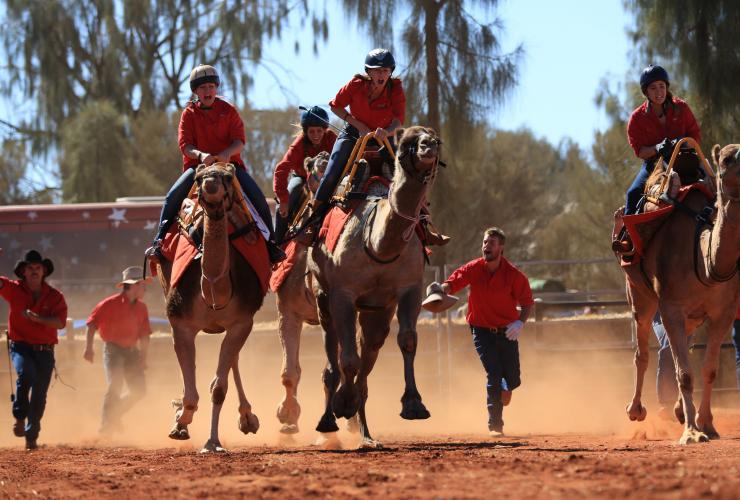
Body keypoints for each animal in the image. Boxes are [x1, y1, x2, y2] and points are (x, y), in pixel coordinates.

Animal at [154, 162, 265, 452]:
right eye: (198, 177)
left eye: (227, 177)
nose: (210, 184)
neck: (214, 290)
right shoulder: (181, 324)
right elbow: (190, 389)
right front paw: (180, 422)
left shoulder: (241, 322)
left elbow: (218, 388)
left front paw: (213, 442)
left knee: (233, 359)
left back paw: (247, 418)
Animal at [308, 126, 439, 447]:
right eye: (407, 143)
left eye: (433, 137)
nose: (428, 146)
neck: (377, 243)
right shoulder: (343, 294)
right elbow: (348, 359)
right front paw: (342, 403)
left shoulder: (408, 290)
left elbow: (407, 340)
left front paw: (414, 405)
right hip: (323, 296)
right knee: (333, 356)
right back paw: (329, 420)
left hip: (375, 311)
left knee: (369, 351)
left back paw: (366, 434)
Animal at [624, 142, 740, 444]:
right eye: (726, 159)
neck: (705, 260)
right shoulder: (671, 307)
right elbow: (685, 373)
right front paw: (692, 432)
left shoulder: (723, 312)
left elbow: (709, 370)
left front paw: (707, 424)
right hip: (639, 294)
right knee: (642, 352)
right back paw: (636, 410)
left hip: (692, 317)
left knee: (681, 347)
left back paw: (677, 410)